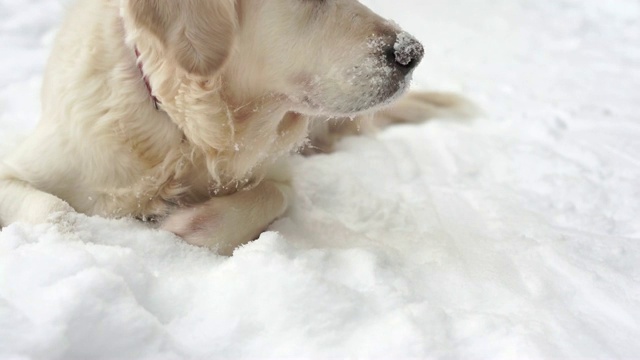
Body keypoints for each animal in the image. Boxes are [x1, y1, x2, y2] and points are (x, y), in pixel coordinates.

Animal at [0, 0, 470, 255]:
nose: (412, 53)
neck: (189, 130)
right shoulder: (19, 170)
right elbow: (56, 211)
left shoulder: (278, 173)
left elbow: (270, 195)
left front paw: (185, 227)